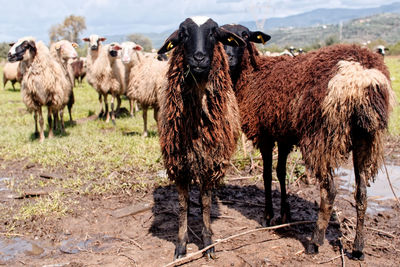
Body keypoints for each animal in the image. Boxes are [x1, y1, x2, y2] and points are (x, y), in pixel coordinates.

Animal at [156, 16, 244, 260]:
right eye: (183, 34)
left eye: (213, 33)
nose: (199, 58)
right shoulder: (179, 163)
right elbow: (183, 205)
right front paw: (181, 246)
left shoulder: (210, 162)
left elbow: (205, 203)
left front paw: (208, 244)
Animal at [223, 24, 396, 262]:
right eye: (220, 38)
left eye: (245, 36)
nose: (228, 58)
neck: (251, 75)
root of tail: (360, 76)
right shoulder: (283, 134)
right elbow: (280, 172)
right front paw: (285, 215)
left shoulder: (265, 133)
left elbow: (267, 175)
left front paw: (268, 216)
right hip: (367, 137)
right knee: (361, 193)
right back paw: (358, 248)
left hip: (321, 136)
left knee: (329, 191)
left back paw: (315, 242)